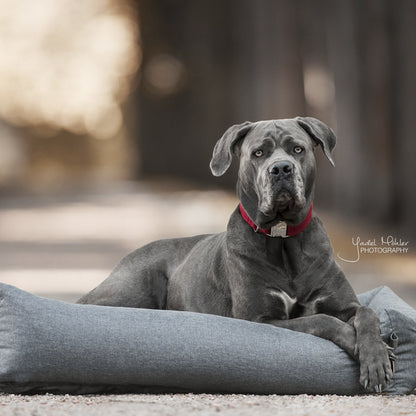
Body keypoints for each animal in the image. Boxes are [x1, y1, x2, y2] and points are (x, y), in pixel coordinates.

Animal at [79, 117, 394, 394]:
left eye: (297, 149)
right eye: (258, 153)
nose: (281, 169)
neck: (283, 239)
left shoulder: (344, 303)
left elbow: (367, 313)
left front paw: (377, 357)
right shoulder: (259, 319)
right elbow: (321, 320)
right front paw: (362, 345)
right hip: (136, 288)